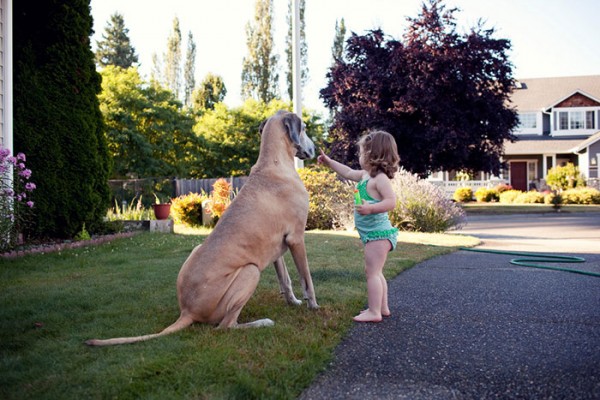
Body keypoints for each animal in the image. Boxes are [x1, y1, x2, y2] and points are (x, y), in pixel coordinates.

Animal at [85, 111, 318, 346]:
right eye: (304, 128)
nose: (315, 148)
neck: (273, 162)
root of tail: (187, 312)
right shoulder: (297, 239)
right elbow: (306, 279)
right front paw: (314, 306)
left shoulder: (276, 248)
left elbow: (285, 279)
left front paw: (293, 302)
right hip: (250, 271)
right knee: (225, 326)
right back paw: (261, 323)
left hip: (202, 250)